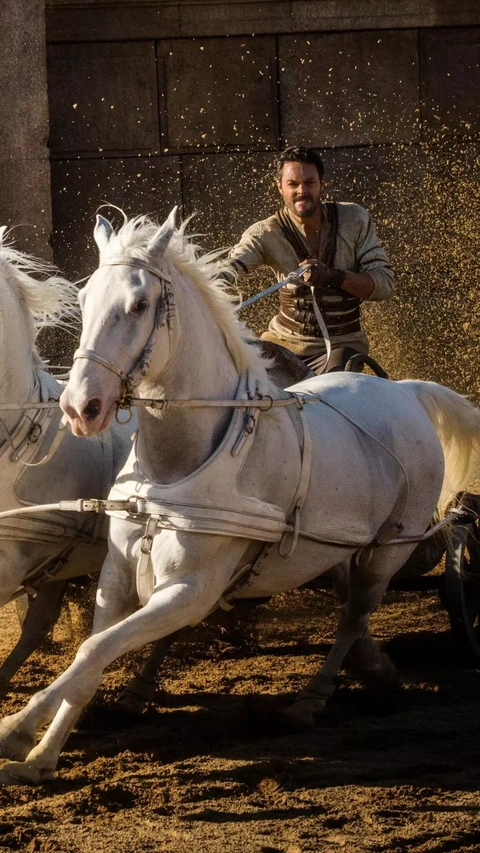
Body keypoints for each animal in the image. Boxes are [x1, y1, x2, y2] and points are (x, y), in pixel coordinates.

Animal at [0, 208, 479, 786]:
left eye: (138, 305)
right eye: (86, 298)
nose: (80, 407)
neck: (174, 467)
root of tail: (405, 390)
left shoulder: (191, 589)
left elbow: (94, 650)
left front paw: (15, 727)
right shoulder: (114, 577)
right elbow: (88, 659)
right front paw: (40, 755)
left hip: (387, 551)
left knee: (353, 616)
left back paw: (311, 700)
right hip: (334, 550)